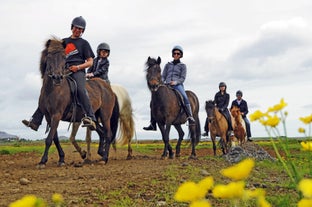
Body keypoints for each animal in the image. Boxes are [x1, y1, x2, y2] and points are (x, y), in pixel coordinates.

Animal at [36, 37, 119, 167]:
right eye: (49, 56)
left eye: (64, 57)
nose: (57, 77)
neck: (52, 90)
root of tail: (109, 89)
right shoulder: (49, 117)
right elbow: (55, 138)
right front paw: (61, 159)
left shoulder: (56, 115)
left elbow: (49, 139)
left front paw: (43, 161)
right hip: (95, 117)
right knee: (102, 133)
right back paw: (100, 154)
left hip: (105, 116)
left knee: (108, 134)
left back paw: (104, 158)